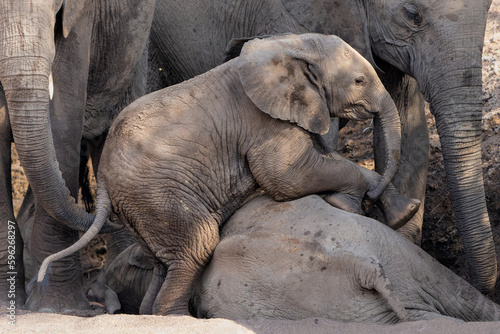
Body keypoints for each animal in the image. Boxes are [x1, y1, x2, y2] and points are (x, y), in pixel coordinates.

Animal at [38, 32, 418, 314]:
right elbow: (286, 177)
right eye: (359, 80)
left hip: (142, 207)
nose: (374, 199)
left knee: (164, 260)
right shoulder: (265, 123)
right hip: (157, 194)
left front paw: (403, 211)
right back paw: (179, 318)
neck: (291, 46)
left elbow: (320, 160)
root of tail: (103, 181)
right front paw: (348, 205)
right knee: (198, 243)